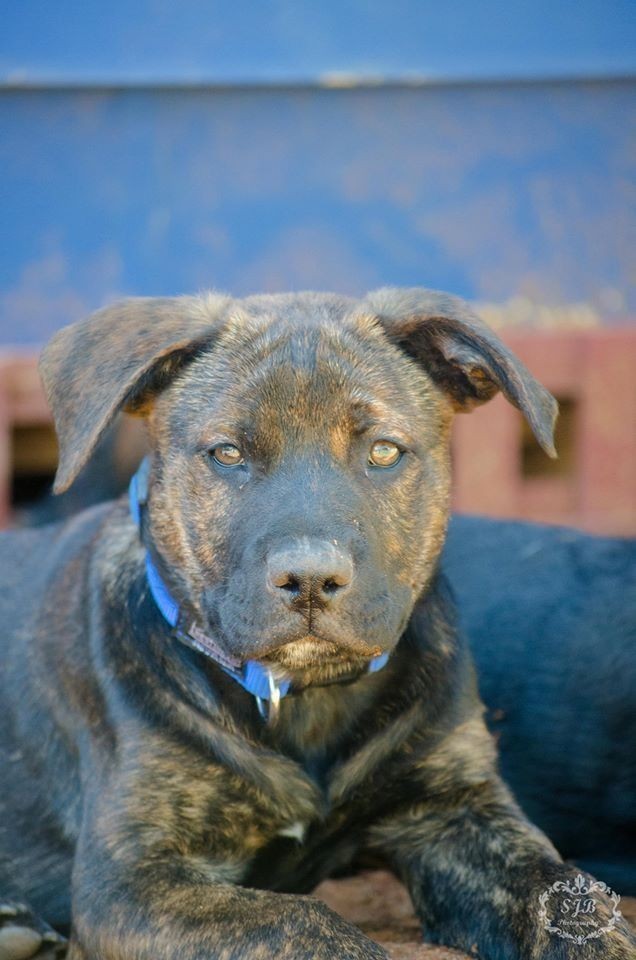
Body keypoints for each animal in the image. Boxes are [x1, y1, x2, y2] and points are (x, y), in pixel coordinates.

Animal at [0, 288, 634, 960]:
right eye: (228, 453)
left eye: (384, 451)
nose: (309, 579)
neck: (304, 698)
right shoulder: (130, 877)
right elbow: (301, 922)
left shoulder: (457, 810)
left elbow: (565, 893)